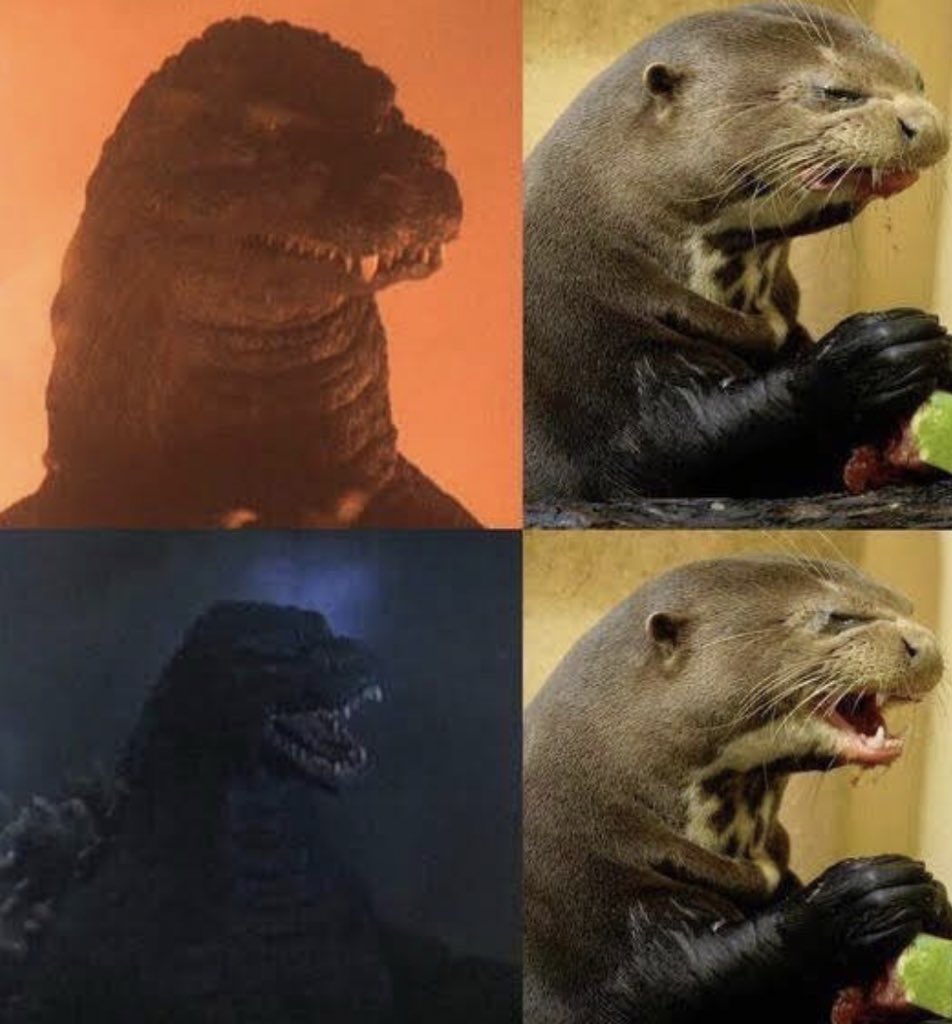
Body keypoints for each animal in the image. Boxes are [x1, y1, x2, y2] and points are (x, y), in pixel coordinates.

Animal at [524, 3, 951, 503]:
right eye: (836, 92)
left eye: (918, 80)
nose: (928, 125)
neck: (607, 253)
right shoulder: (588, 357)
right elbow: (672, 441)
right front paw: (866, 358)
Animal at [524, 555, 952, 1024]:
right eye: (840, 617)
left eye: (906, 605)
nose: (927, 645)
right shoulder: (595, 916)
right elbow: (685, 974)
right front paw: (856, 901)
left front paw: (935, 904)